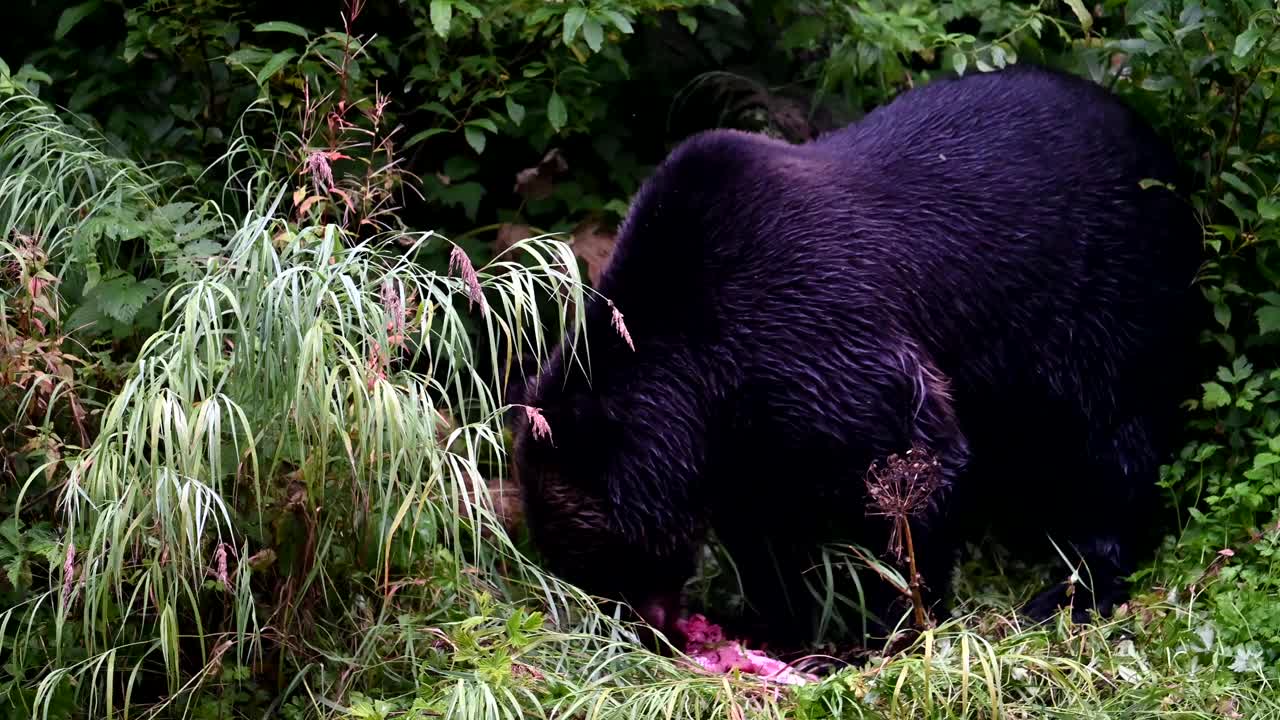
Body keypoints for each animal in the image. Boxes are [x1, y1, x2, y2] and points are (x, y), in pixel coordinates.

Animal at [506, 64, 1198, 648]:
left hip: (1102, 300)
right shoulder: (744, 427)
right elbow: (765, 524)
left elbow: (916, 467)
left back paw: (1075, 587)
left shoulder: (817, 332)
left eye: (593, 553)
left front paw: (890, 626)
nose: (636, 626)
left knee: (1108, 439)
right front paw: (779, 619)